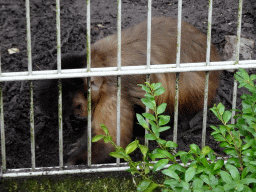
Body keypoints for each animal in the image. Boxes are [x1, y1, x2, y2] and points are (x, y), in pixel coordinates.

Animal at [37, 16, 221, 165]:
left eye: (78, 106)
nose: (78, 115)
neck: (101, 64)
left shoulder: (112, 91)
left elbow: (110, 143)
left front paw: (74, 162)